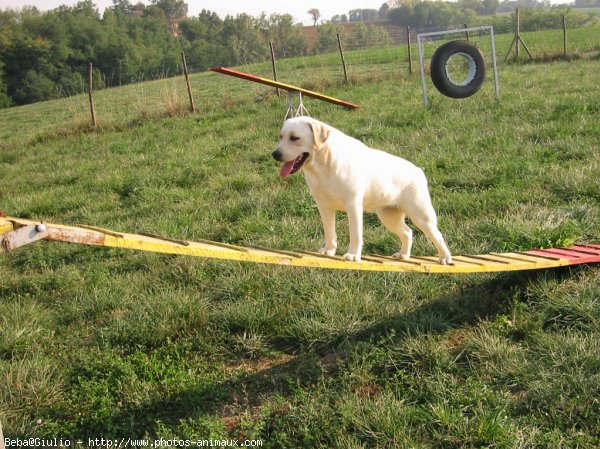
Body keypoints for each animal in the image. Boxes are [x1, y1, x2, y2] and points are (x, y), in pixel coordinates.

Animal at [270, 115, 452, 264]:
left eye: (295, 138)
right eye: (281, 137)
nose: (275, 154)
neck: (324, 163)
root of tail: (418, 170)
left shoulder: (353, 205)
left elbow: (356, 234)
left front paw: (352, 255)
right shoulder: (324, 206)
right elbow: (330, 231)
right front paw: (329, 250)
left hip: (421, 215)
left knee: (437, 235)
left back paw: (445, 258)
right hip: (389, 217)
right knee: (407, 232)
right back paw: (403, 255)